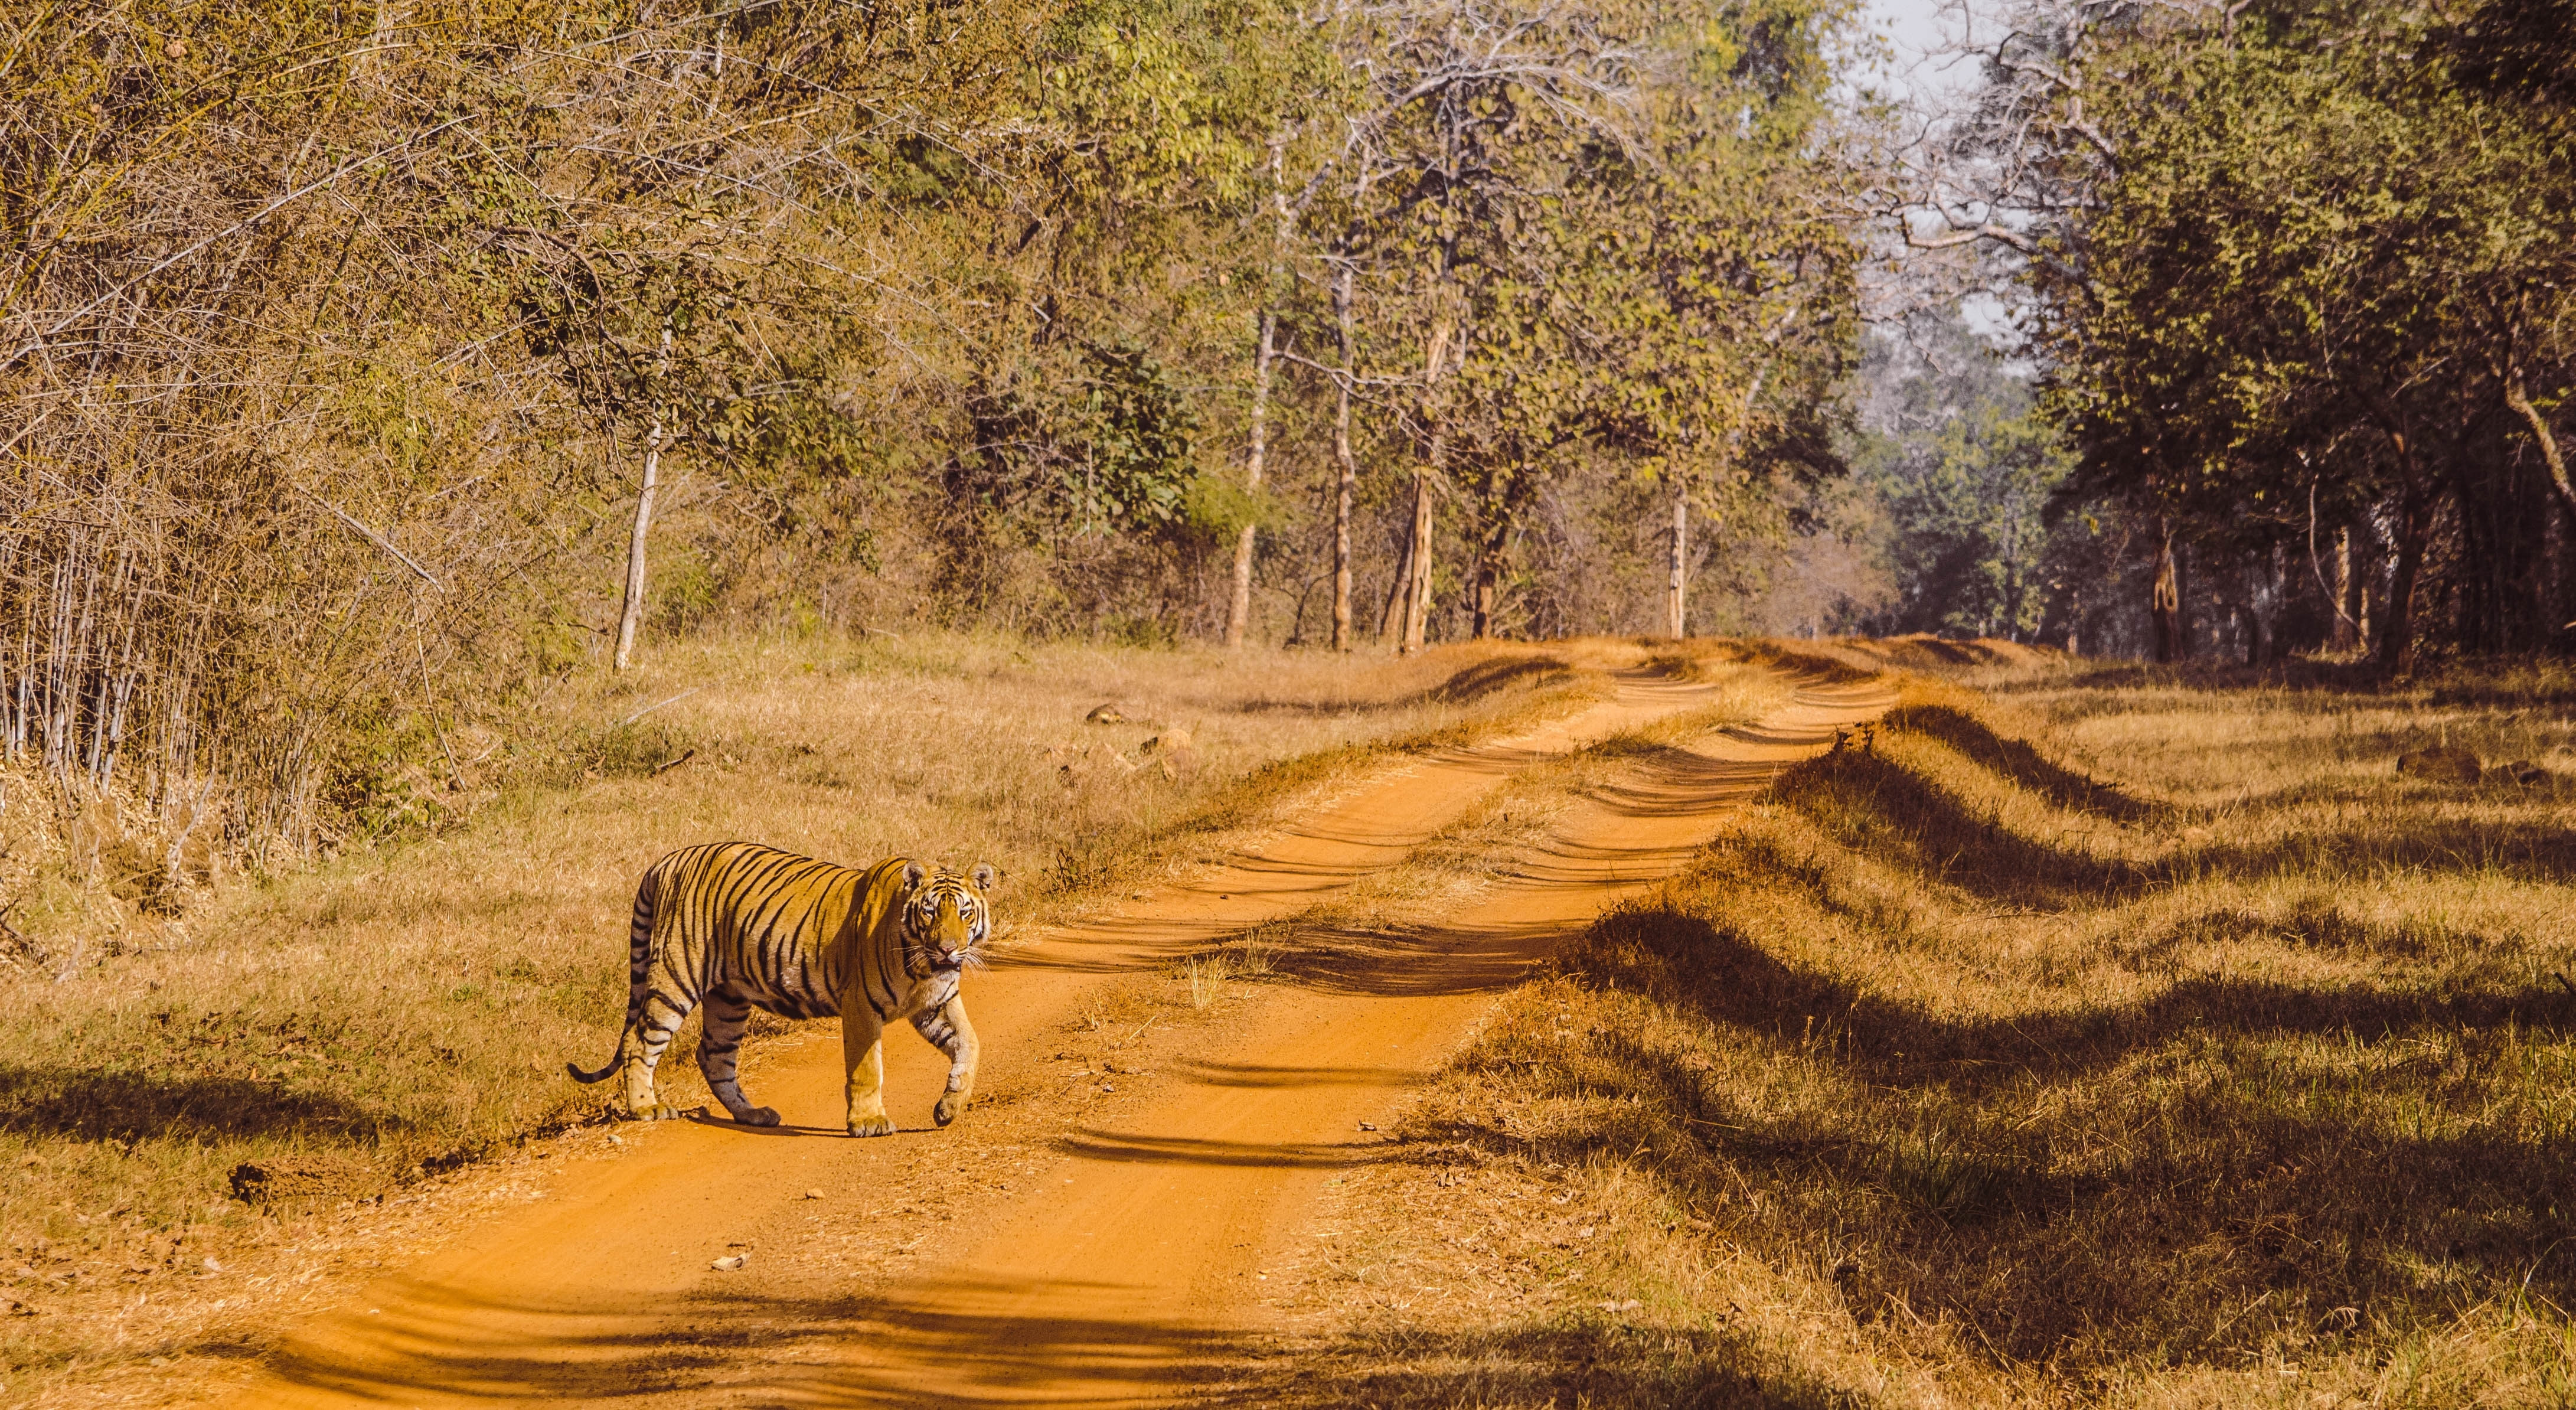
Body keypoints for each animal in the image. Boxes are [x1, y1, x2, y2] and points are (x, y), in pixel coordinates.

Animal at [566, 842, 994, 1137]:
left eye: (964, 912)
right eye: (930, 912)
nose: (948, 949)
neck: (924, 968)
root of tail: (669, 859)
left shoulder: (936, 1003)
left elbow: (971, 1044)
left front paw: (950, 1106)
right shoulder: (860, 1005)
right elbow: (867, 1068)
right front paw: (869, 1121)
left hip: (728, 998)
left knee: (713, 1056)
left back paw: (752, 1115)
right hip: (676, 976)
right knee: (640, 1044)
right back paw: (646, 1109)